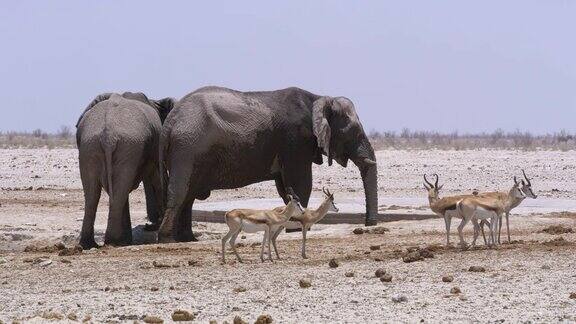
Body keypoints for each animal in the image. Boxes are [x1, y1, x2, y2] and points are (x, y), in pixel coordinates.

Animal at [76, 91, 176, 248]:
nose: (148, 225)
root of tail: (108, 134)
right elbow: (157, 179)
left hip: (91, 146)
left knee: (94, 193)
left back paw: (89, 244)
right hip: (125, 144)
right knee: (118, 189)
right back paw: (114, 241)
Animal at [158, 86, 378, 243]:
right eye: (354, 132)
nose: (369, 224)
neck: (318, 98)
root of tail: (169, 123)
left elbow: (286, 188)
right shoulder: (295, 140)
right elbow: (300, 183)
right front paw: (297, 229)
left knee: (189, 195)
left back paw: (187, 239)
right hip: (186, 147)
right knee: (180, 193)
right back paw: (168, 239)